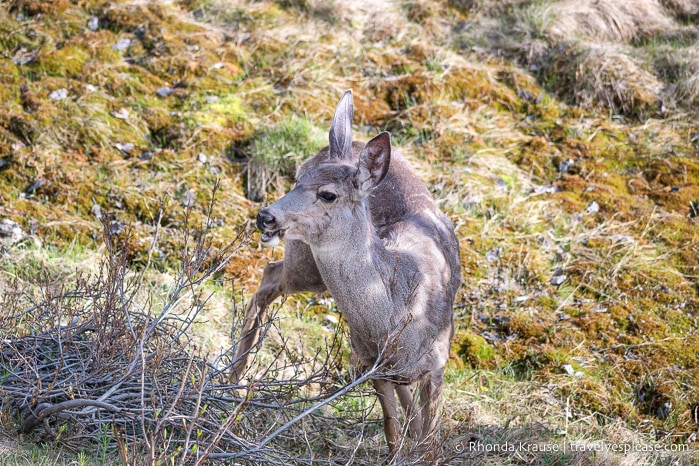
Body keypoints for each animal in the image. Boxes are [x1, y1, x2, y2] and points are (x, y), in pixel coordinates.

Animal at [238, 90, 462, 452]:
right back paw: (233, 380)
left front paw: (421, 443)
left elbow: (428, 439)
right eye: (297, 182)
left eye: (328, 194)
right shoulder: (368, 364)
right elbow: (391, 433)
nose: (265, 216)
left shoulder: (437, 364)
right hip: (306, 268)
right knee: (270, 276)